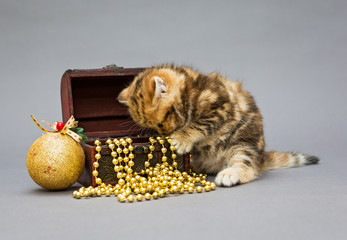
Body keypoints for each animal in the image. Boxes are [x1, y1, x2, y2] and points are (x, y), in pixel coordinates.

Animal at [118, 64, 320, 187]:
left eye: (160, 123)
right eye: (154, 127)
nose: (165, 133)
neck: (190, 88)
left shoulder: (220, 107)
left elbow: (198, 125)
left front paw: (181, 138)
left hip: (244, 142)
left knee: (247, 164)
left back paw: (230, 174)